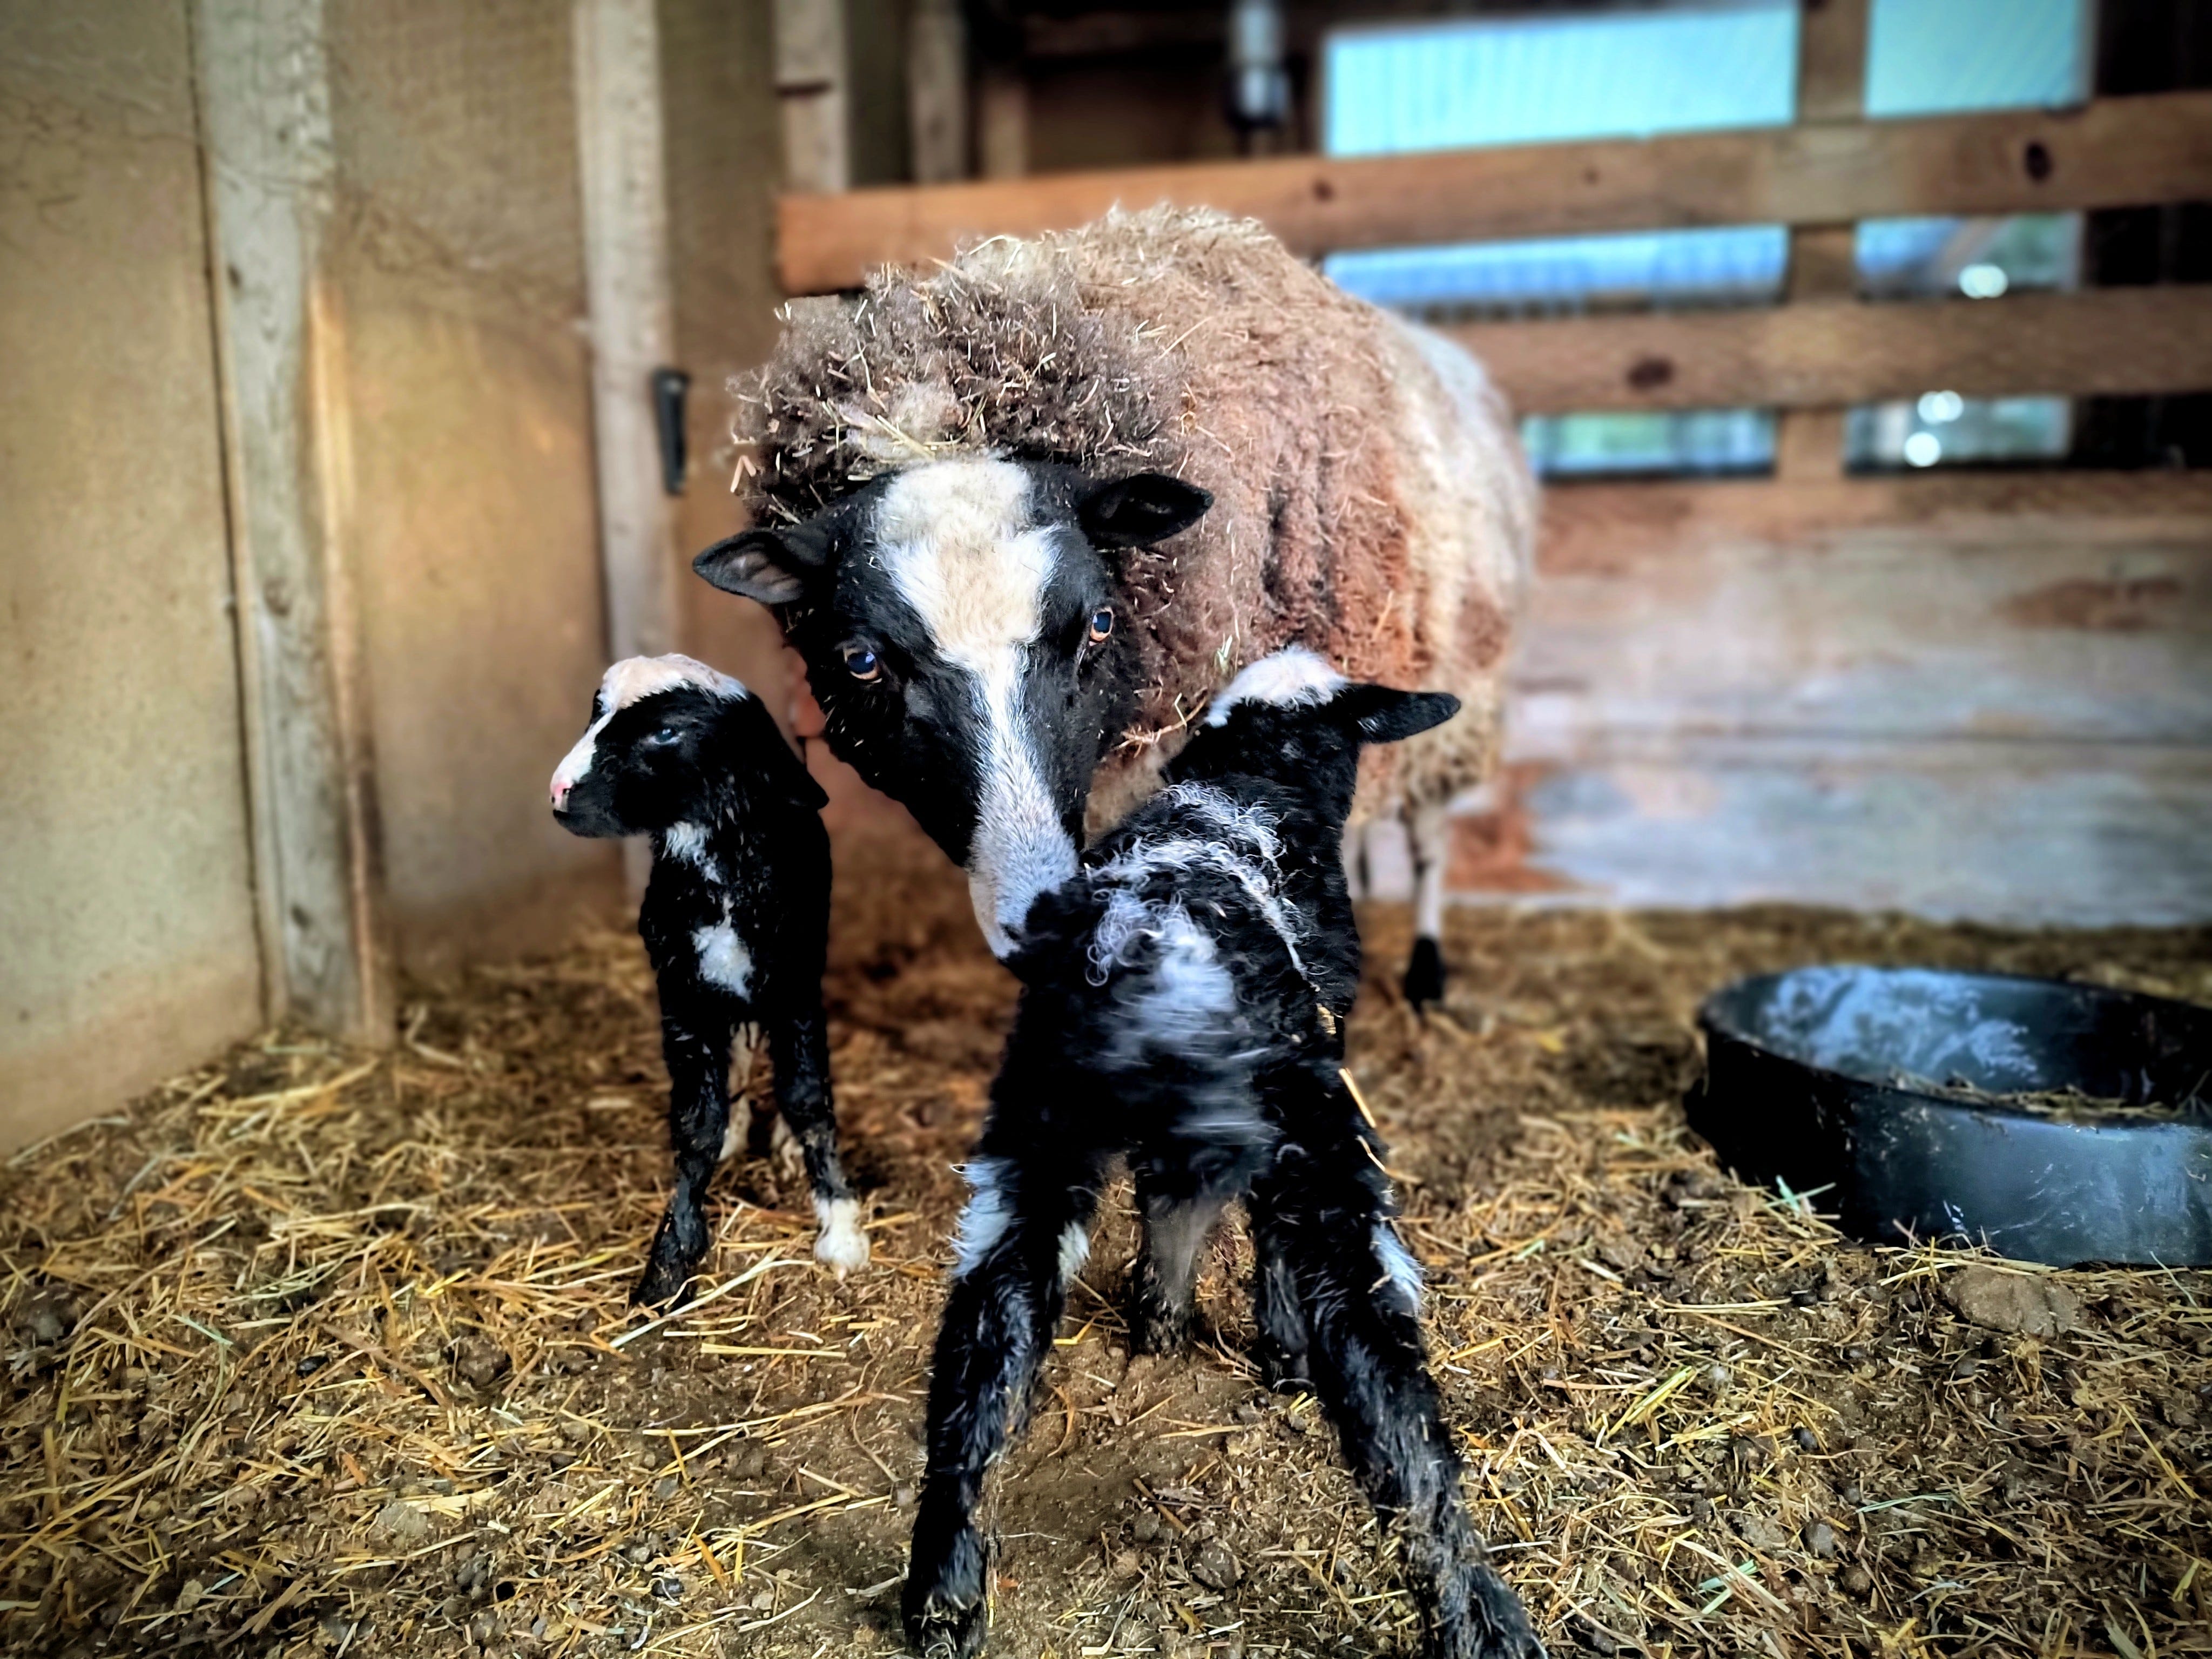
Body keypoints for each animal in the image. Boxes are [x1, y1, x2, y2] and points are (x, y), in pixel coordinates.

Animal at [549, 654, 868, 1303]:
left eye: (666, 732)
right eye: (596, 711)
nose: (559, 792)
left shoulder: (795, 988)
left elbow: (808, 1100)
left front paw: (841, 1229)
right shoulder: (682, 998)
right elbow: (696, 1124)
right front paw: (670, 1261)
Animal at [900, 649, 1543, 1659]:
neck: (1246, 780)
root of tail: (1154, 940)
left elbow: (1173, 1209)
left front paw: (1159, 1323)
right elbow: (1264, 1252)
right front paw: (1277, 1356)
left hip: (1033, 1137)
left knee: (988, 1337)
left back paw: (945, 1594)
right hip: (1321, 1150)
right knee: (1390, 1398)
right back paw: (1478, 1613)